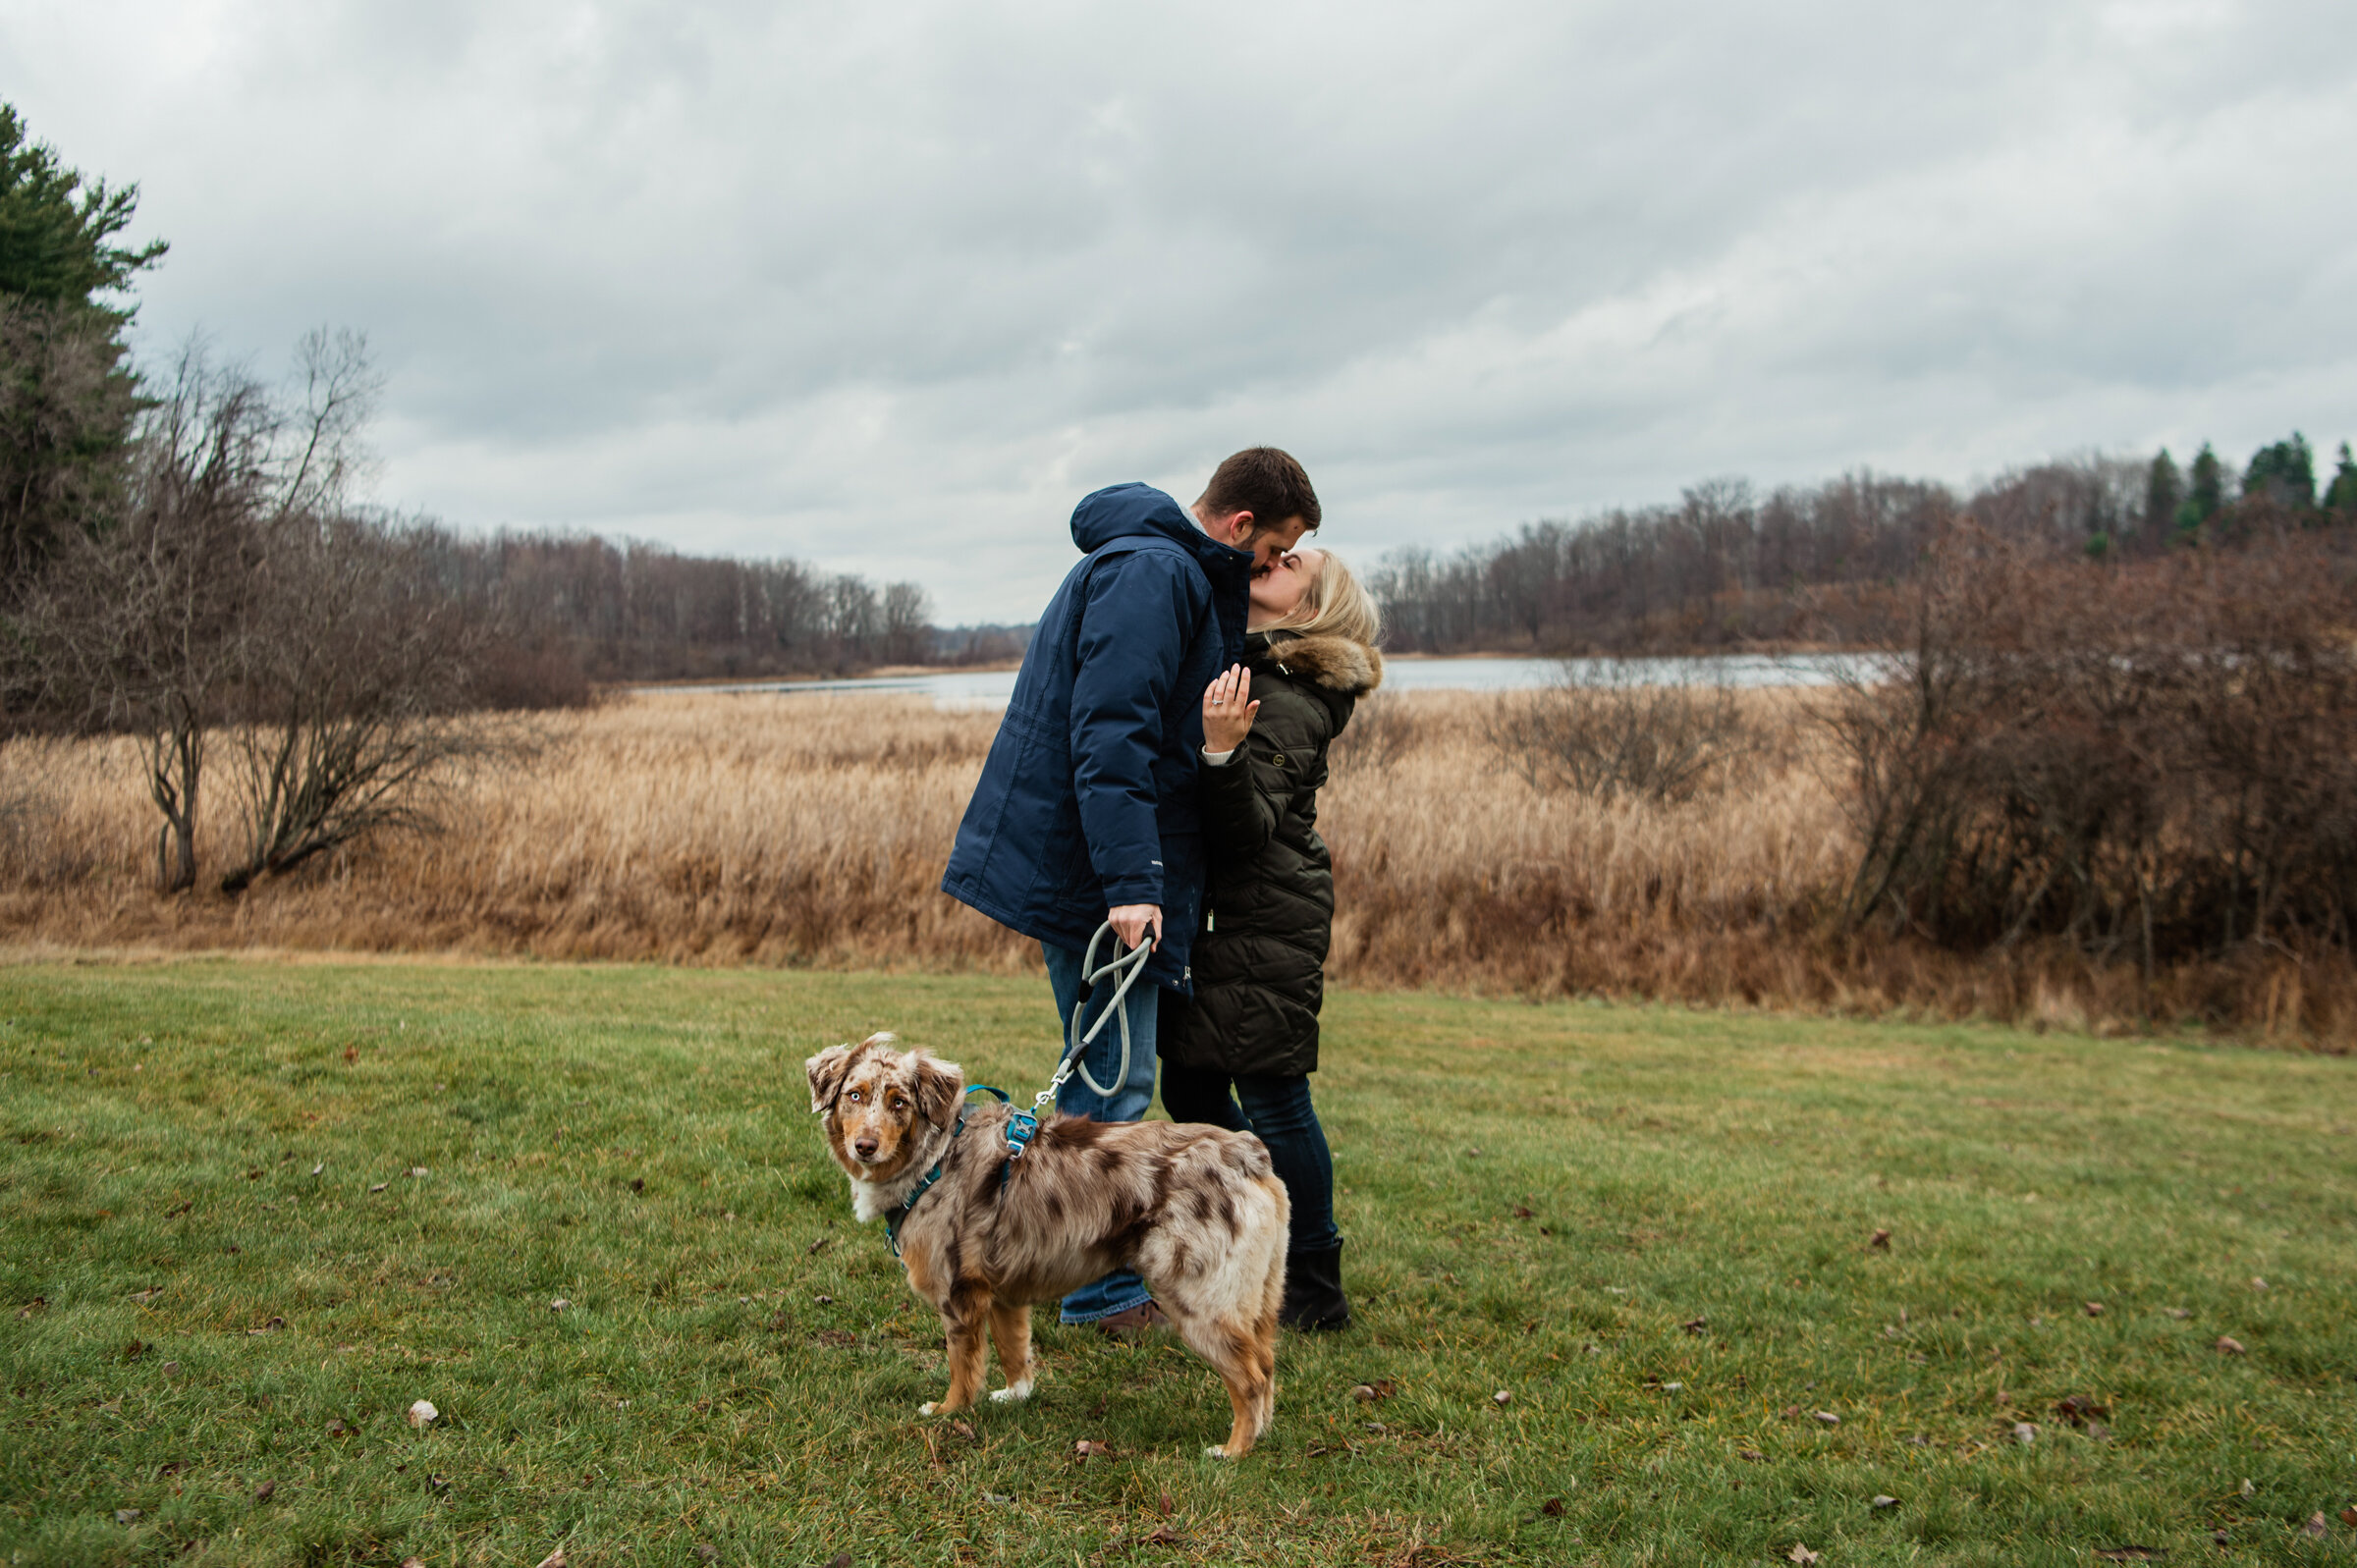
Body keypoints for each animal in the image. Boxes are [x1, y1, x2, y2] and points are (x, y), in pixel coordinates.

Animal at [810, 1028, 1291, 1452]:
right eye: (855, 1095)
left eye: (899, 1102)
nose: (865, 1146)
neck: (936, 1158)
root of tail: (1248, 1154)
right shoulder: (1000, 1291)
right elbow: (1014, 1351)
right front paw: (1015, 1395)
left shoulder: (959, 1292)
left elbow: (962, 1365)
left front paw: (950, 1411)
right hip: (1261, 1298)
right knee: (1267, 1366)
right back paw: (1261, 1434)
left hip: (1198, 1298)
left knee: (1250, 1378)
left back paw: (1233, 1450)